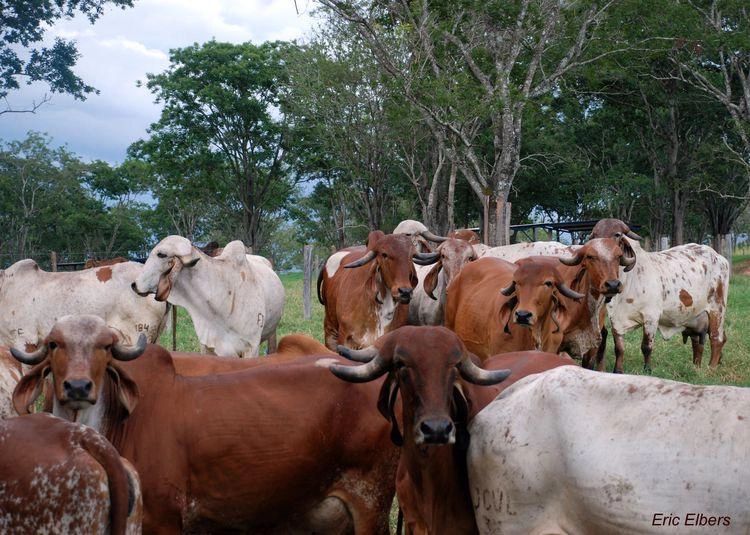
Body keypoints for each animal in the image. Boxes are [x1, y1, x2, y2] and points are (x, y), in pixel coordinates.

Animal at [590, 218, 729, 371]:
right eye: (594, 235)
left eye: (617, 234)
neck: (628, 281)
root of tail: (719, 257)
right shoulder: (615, 319)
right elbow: (619, 349)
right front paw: (618, 370)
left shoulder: (651, 317)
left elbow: (646, 347)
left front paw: (647, 370)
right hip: (696, 317)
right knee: (699, 342)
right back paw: (696, 367)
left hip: (717, 309)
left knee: (717, 339)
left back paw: (711, 368)